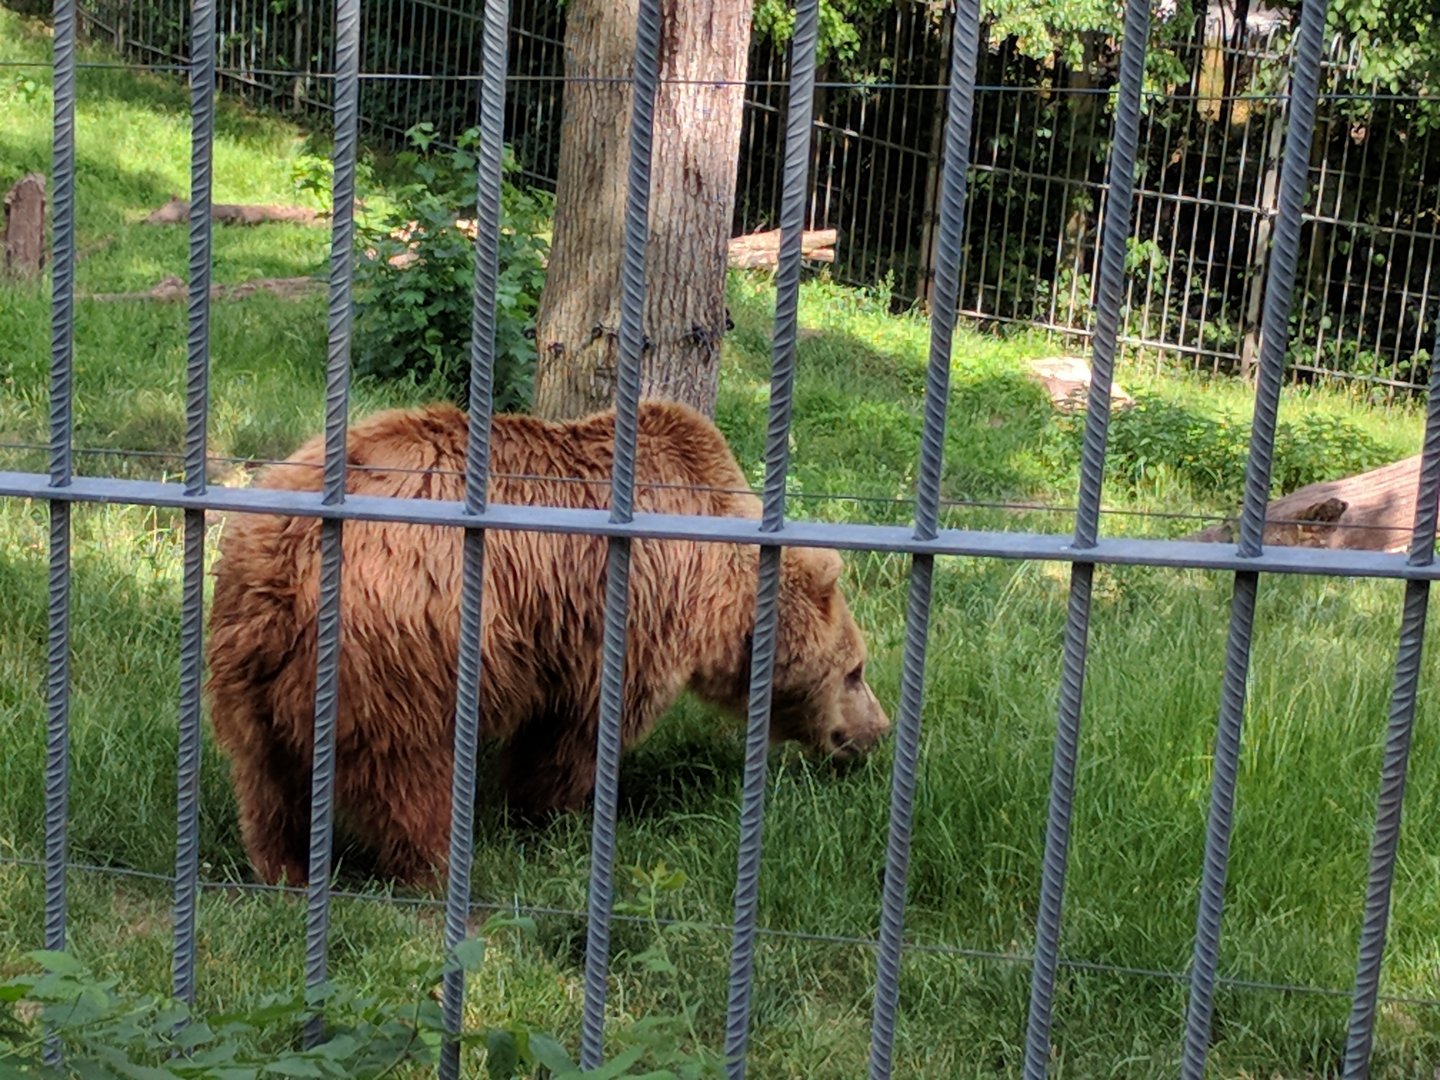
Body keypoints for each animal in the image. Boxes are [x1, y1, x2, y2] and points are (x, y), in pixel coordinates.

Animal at [205, 400, 890, 887]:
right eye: (856, 670)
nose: (877, 730)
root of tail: (279, 560)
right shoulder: (622, 617)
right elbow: (574, 734)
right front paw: (556, 818)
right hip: (397, 648)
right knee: (405, 771)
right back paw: (440, 867)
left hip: (251, 663)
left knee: (266, 781)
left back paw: (282, 868)